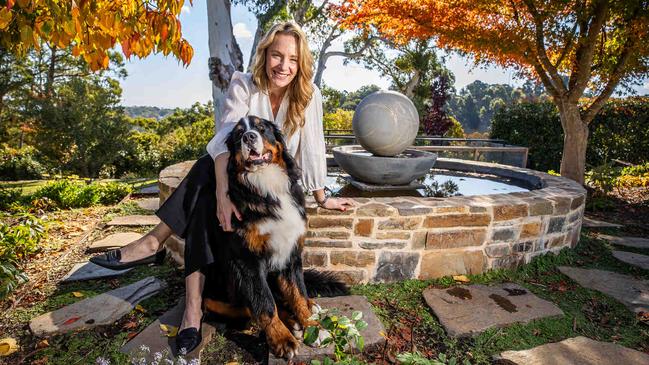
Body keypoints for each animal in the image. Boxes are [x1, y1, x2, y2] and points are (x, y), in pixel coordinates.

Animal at [201, 116, 344, 358]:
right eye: (239, 134)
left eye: (261, 128)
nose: (249, 137)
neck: (266, 184)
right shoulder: (247, 261)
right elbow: (265, 304)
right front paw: (282, 339)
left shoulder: (291, 255)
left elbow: (297, 294)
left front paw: (312, 328)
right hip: (216, 294)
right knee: (252, 308)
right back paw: (291, 325)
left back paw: (306, 311)